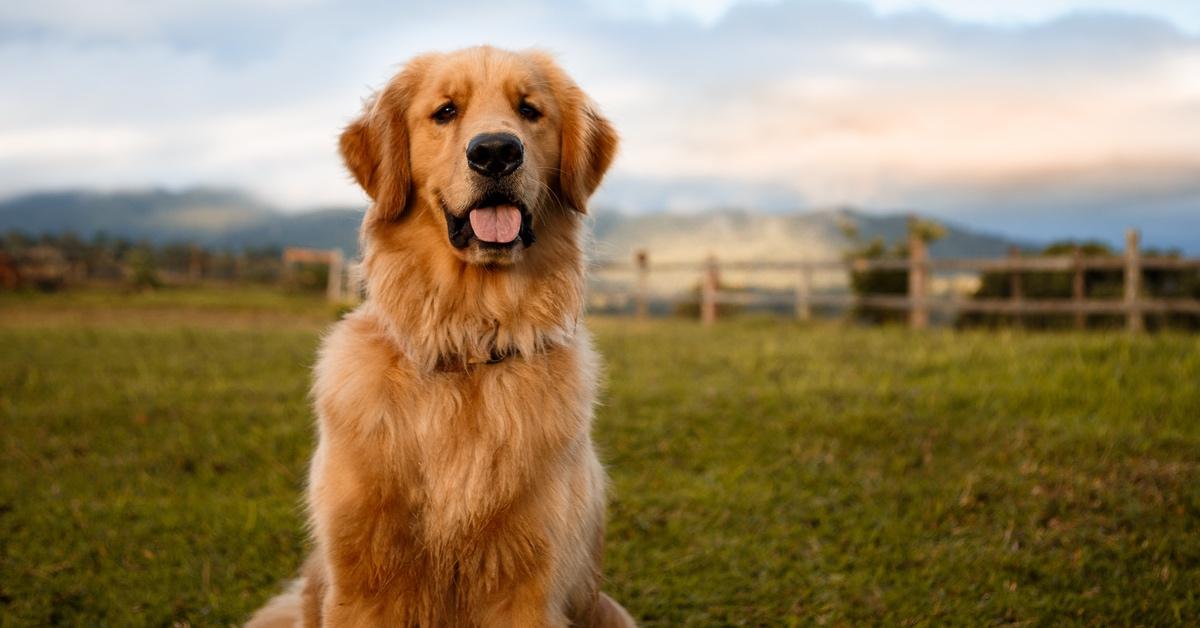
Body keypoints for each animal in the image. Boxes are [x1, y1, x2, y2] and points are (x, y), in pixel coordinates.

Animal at [247, 46, 633, 624]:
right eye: (446, 112)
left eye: (529, 110)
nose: (495, 152)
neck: (467, 344)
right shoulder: (362, 581)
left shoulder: (528, 585)